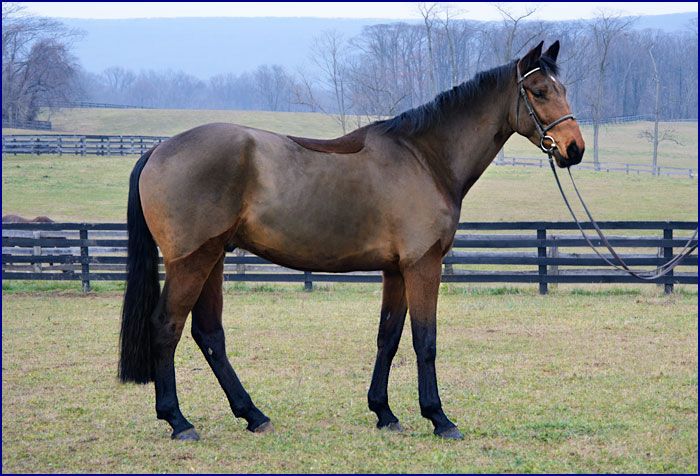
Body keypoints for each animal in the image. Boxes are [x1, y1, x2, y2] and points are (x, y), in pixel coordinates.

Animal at [119, 42, 584, 440]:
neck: (423, 157)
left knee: (210, 334)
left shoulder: (396, 270)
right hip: (191, 261)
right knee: (167, 327)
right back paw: (178, 421)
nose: (574, 149)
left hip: (213, 258)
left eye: (562, 89)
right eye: (540, 91)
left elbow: (388, 337)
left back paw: (253, 414)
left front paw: (384, 412)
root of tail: (158, 150)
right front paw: (438, 417)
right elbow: (425, 340)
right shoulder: (423, 264)